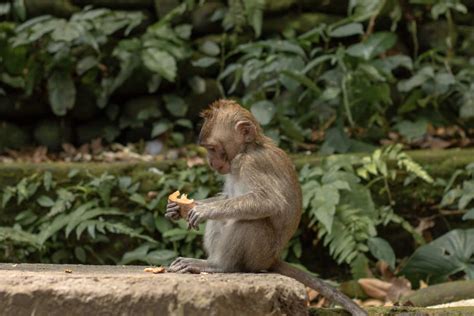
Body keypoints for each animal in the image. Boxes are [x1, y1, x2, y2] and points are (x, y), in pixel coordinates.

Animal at [165, 99, 368, 316]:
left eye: (212, 147)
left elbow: (269, 202)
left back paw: (218, 265)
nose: (211, 162)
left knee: (249, 222)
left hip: (260, 254)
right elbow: (226, 198)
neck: (247, 149)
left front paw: (203, 210)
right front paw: (178, 208)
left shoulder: (252, 164)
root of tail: (272, 260)